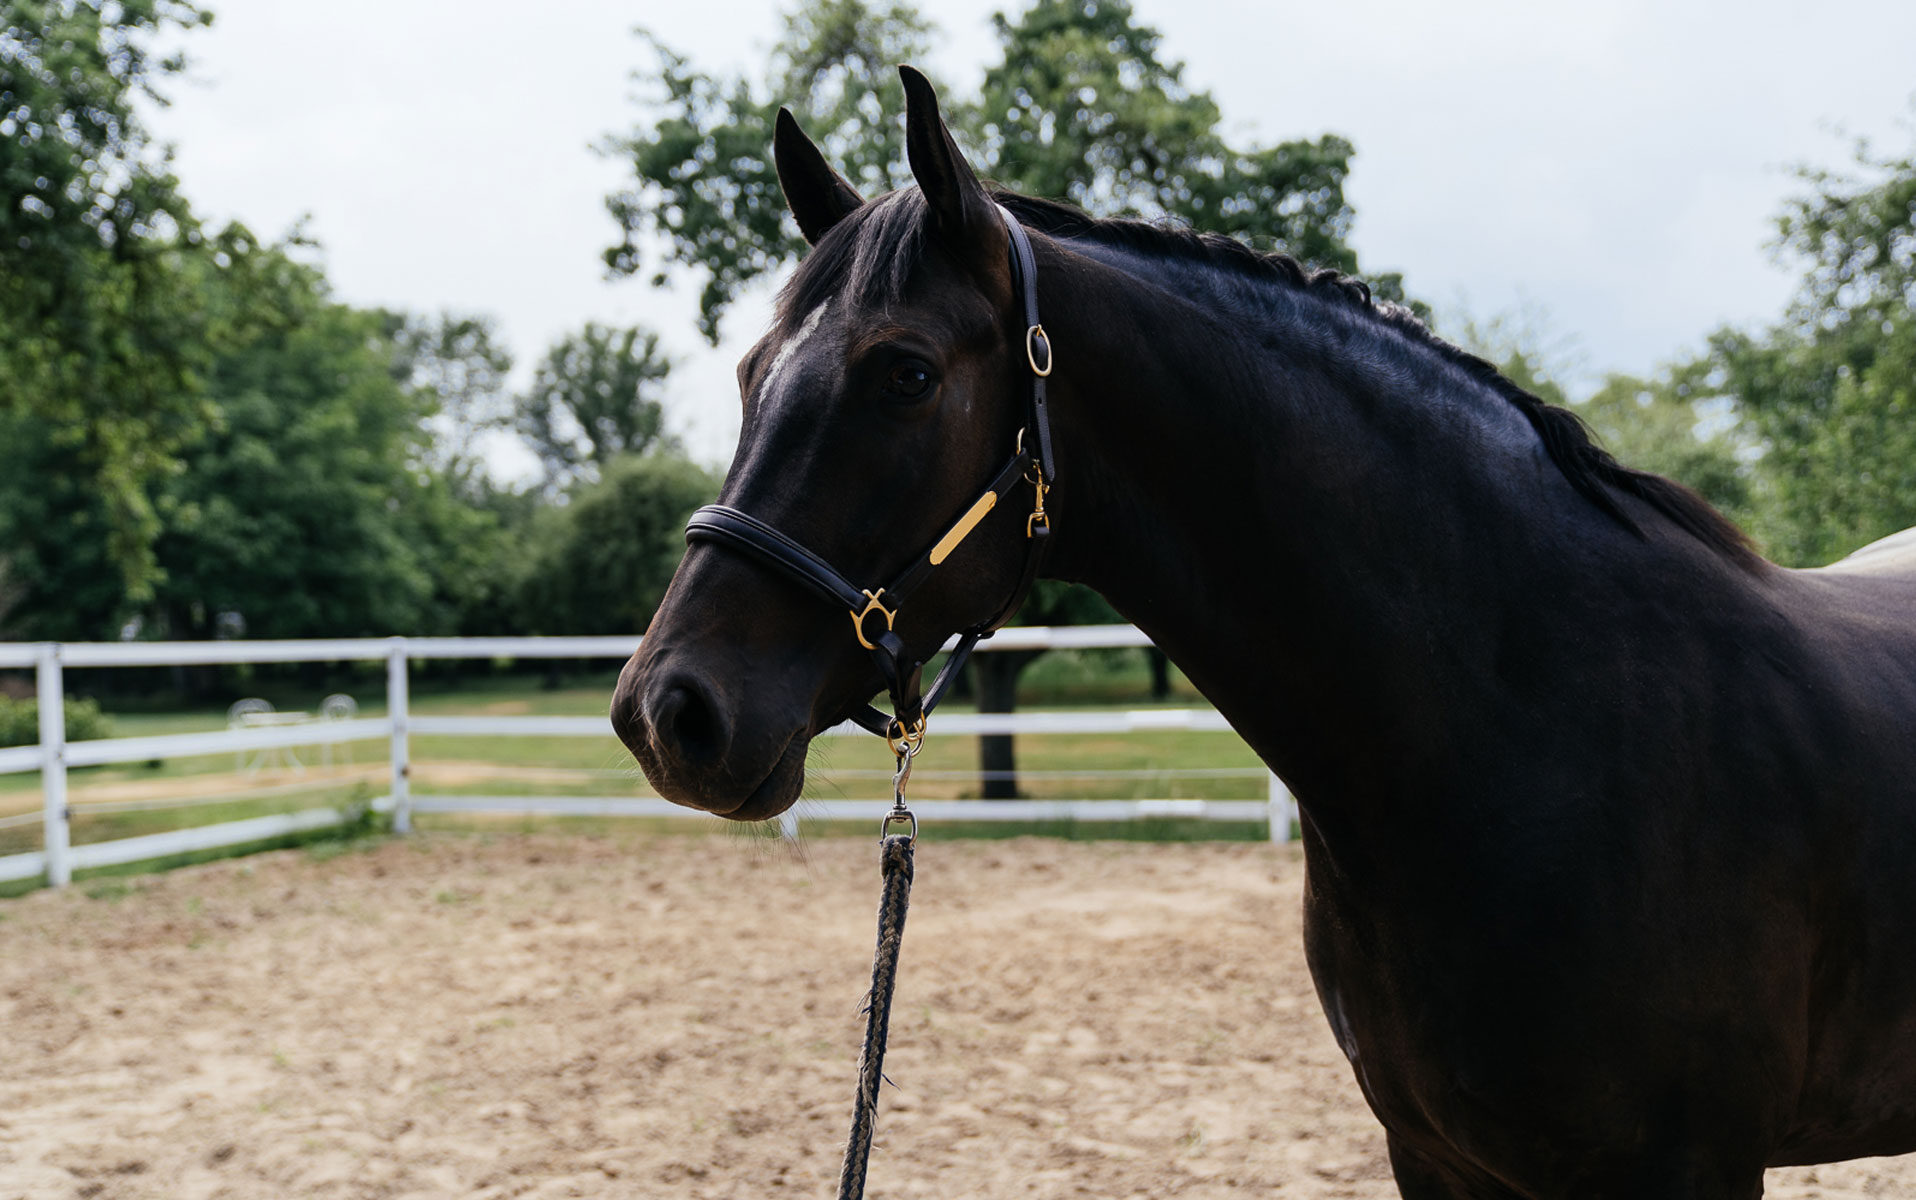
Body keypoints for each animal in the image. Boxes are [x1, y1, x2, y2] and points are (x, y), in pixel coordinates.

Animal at [610, 66, 1916, 1198]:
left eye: (906, 374)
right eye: (749, 369)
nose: (666, 713)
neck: (1535, 726)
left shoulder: (1685, 1169)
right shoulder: (1433, 1157)